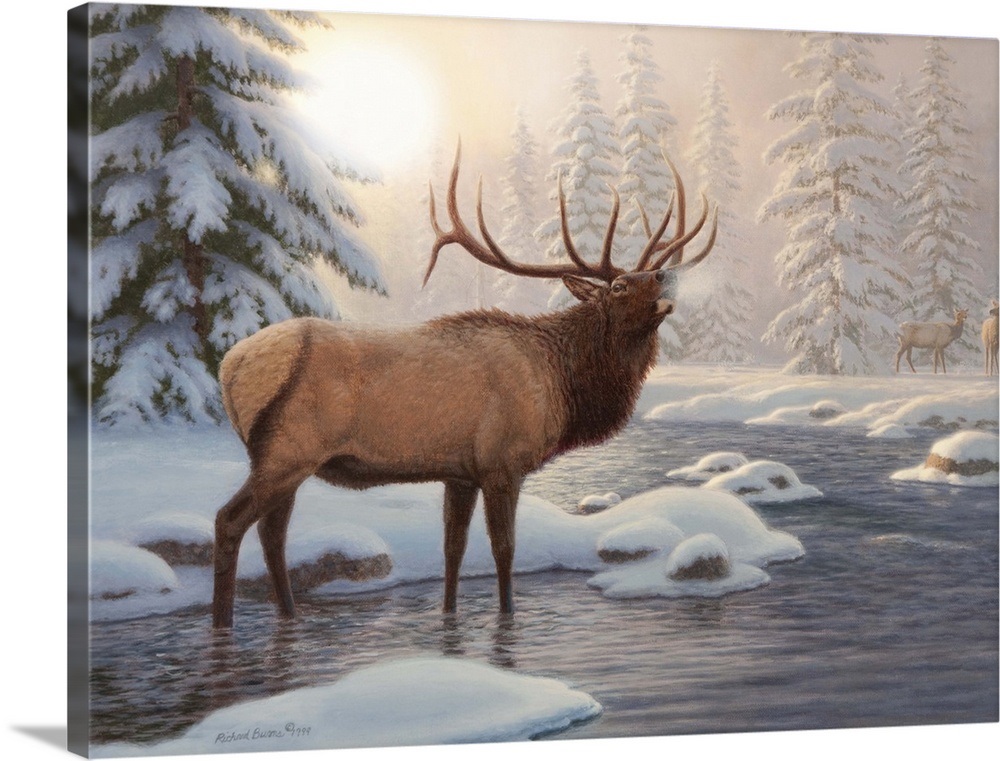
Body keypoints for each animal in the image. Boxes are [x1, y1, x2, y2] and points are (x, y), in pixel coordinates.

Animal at [211, 144, 717, 629]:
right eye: (618, 287)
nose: (664, 275)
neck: (561, 383)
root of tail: (229, 366)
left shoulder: (459, 472)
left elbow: (452, 551)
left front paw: (450, 618)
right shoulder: (502, 462)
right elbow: (503, 550)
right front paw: (506, 619)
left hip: (283, 459)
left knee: (272, 534)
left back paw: (288, 616)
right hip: (287, 450)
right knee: (229, 521)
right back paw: (224, 625)